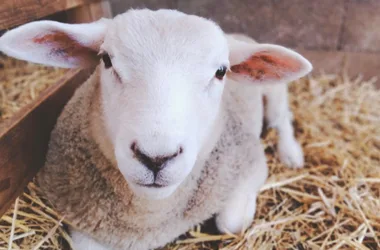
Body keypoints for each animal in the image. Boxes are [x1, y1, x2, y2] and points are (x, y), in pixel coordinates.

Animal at [0, 8, 312, 250]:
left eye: (221, 72)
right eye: (106, 60)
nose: (156, 158)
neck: (151, 215)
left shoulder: (250, 163)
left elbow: (231, 222)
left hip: (274, 92)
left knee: (282, 118)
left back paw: (291, 154)